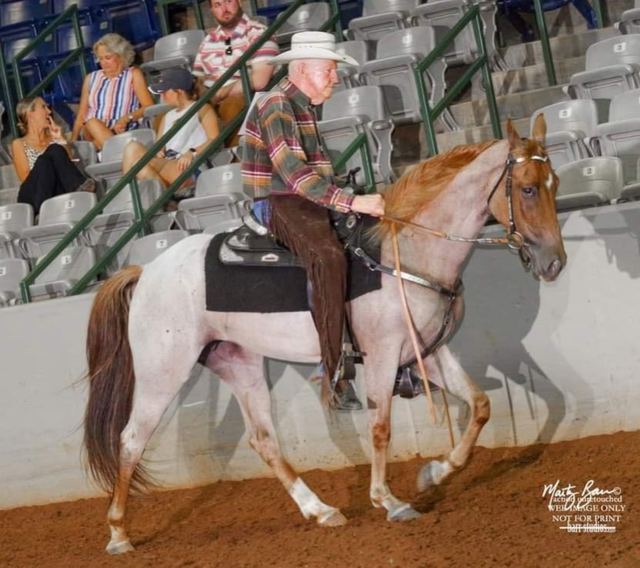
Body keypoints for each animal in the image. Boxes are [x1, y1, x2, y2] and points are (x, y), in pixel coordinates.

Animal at [84, 116, 566, 554]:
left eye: (555, 182)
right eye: (527, 188)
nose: (554, 262)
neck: (407, 251)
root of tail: (146, 272)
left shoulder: (428, 350)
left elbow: (480, 405)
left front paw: (434, 473)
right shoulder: (383, 354)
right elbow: (380, 427)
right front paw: (388, 500)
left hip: (237, 360)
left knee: (263, 438)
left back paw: (319, 510)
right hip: (163, 371)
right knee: (131, 439)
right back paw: (118, 534)